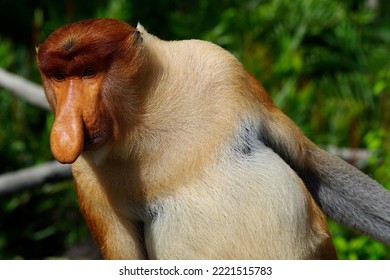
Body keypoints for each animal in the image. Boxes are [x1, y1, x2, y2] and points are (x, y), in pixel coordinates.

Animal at [36, 18, 390, 260]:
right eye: (58, 77)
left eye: (88, 72)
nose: (65, 130)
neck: (143, 114)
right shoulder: (88, 182)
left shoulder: (223, 69)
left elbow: (311, 167)